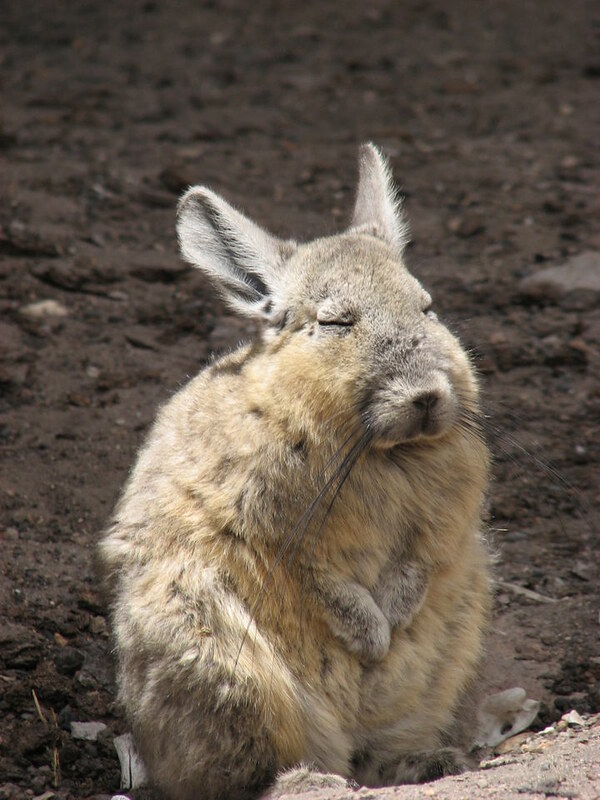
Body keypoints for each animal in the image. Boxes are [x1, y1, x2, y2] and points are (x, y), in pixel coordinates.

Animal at [98, 143, 491, 800]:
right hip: (222, 667)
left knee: (378, 752)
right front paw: (373, 637)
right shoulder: (280, 532)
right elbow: (323, 584)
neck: (380, 449)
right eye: (335, 322)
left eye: (428, 307)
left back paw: (426, 761)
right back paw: (307, 777)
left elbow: (419, 561)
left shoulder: (446, 524)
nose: (427, 396)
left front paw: (391, 624)